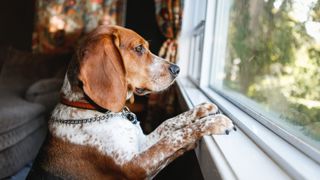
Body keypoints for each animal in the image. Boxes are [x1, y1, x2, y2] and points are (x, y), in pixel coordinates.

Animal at [27, 25, 236, 180]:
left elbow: (169, 124)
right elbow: (174, 138)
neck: (96, 110)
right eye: (139, 49)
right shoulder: (136, 166)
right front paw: (214, 123)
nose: (177, 69)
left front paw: (202, 109)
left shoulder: (142, 143)